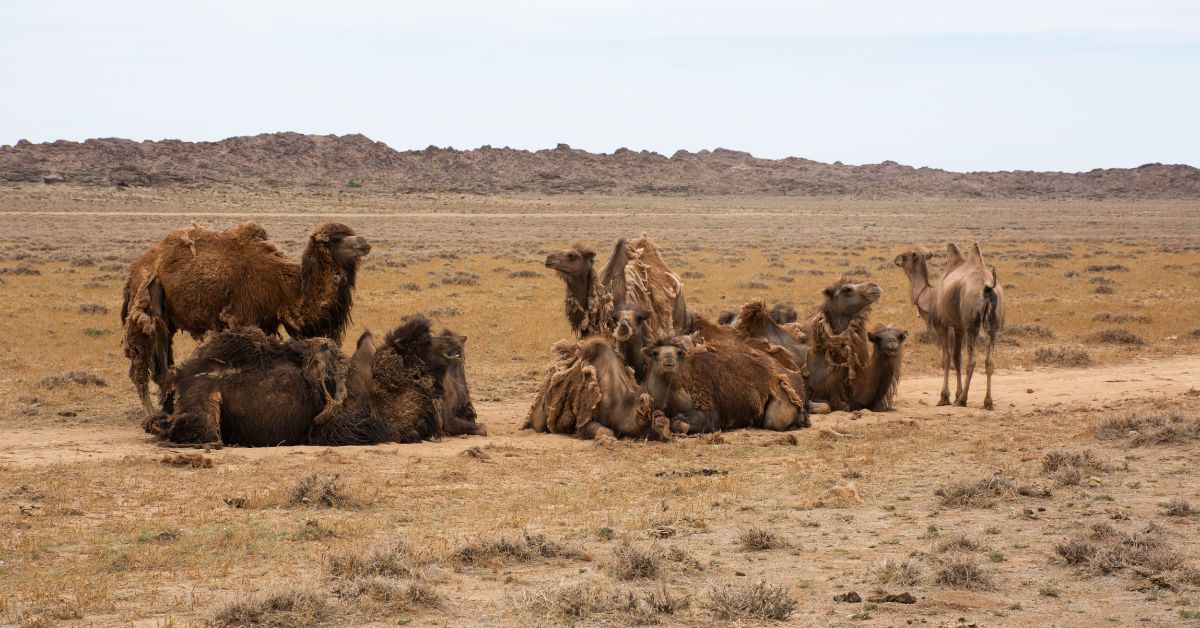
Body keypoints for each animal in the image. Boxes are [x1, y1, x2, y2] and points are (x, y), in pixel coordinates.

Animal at [121, 220, 367, 417]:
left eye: (350, 232)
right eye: (336, 239)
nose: (364, 242)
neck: (285, 289)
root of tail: (135, 269)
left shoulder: (264, 325)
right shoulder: (242, 319)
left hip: (166, 320)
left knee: (161, 368)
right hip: (145, 305)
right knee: (139, 367)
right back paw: (151, 414)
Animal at [148, 314, 482, 446]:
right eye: (425, 343)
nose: (458, 343)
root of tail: (174, 387)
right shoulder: (338, 428)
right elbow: (382, 431)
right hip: (207, 408)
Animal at [936, 243, 1003, 410]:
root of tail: (987, 287)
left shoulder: (943, 323)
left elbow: (947, 357)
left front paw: (944, 397)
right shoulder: (959, 327)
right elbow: (956, 357)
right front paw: (954, 394)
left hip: (972, 327)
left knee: (972, 360)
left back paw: (962, 400)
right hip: (992, 326)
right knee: (989, 361)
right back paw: (988, 402)